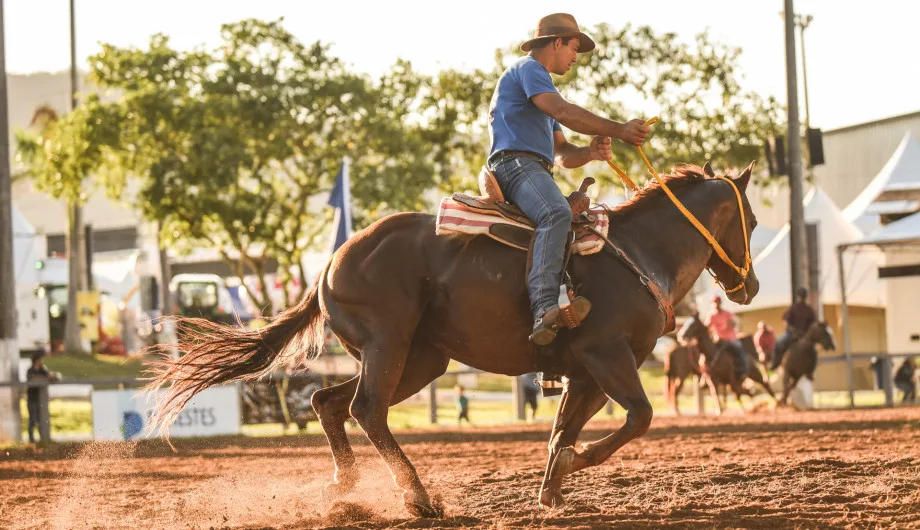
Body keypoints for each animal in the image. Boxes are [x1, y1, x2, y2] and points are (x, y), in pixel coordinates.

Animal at [146, 163, 760, 512]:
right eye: (750, 220)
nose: (749, 285)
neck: (637, 254)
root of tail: (330, 265)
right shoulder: (606, 357)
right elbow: (638, 418)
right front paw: (573, 466)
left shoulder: (584, 374)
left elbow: (561, 432)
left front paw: (552, 489)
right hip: (388, 347)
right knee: (366, 409)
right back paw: (416, 497)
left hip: (420, 361)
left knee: (327, 401)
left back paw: (347, 486)